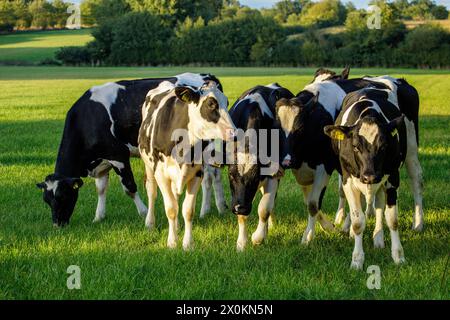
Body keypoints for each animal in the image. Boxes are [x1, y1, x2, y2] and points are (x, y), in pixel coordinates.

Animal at [36, 72, 225, 228]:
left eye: (63, 196)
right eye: (47, 200)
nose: (57, 225)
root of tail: (207, 75)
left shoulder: (118, 156)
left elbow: (129, 187)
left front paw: (143, 213)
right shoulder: (102, 161)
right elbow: (101, 189)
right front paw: (98, 216)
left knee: (209, 176)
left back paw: (206, 210)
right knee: (213, 175)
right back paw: (218, 208)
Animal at [138, 80, 236, 250]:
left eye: (227, 102)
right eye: (211, 104)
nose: (234, 132)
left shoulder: (197, 173)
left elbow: (187, 210)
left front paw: (188, 243)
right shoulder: (161, 174)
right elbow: (170, 208)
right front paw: (172, 242)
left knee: (176, 196)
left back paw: (176, 226)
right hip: (149, 166)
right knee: (151, 192)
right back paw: (150, 223)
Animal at [304, 68, 424, 232]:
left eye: (384, 146)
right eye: (355, 146)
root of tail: (400, 80)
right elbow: (346, 192)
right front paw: (344, 222)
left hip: (411, 145)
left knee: (416, 178)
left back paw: (418, 223)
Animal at [324, 84, 412, 268]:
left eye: (384, 146)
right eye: (355, 147)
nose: (369, 177)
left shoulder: (393, 179)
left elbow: (392, 219)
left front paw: (398, 255)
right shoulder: (348, 181)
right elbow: (358, 222)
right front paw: (357, 260)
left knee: (378, 205)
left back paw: (378, 237)